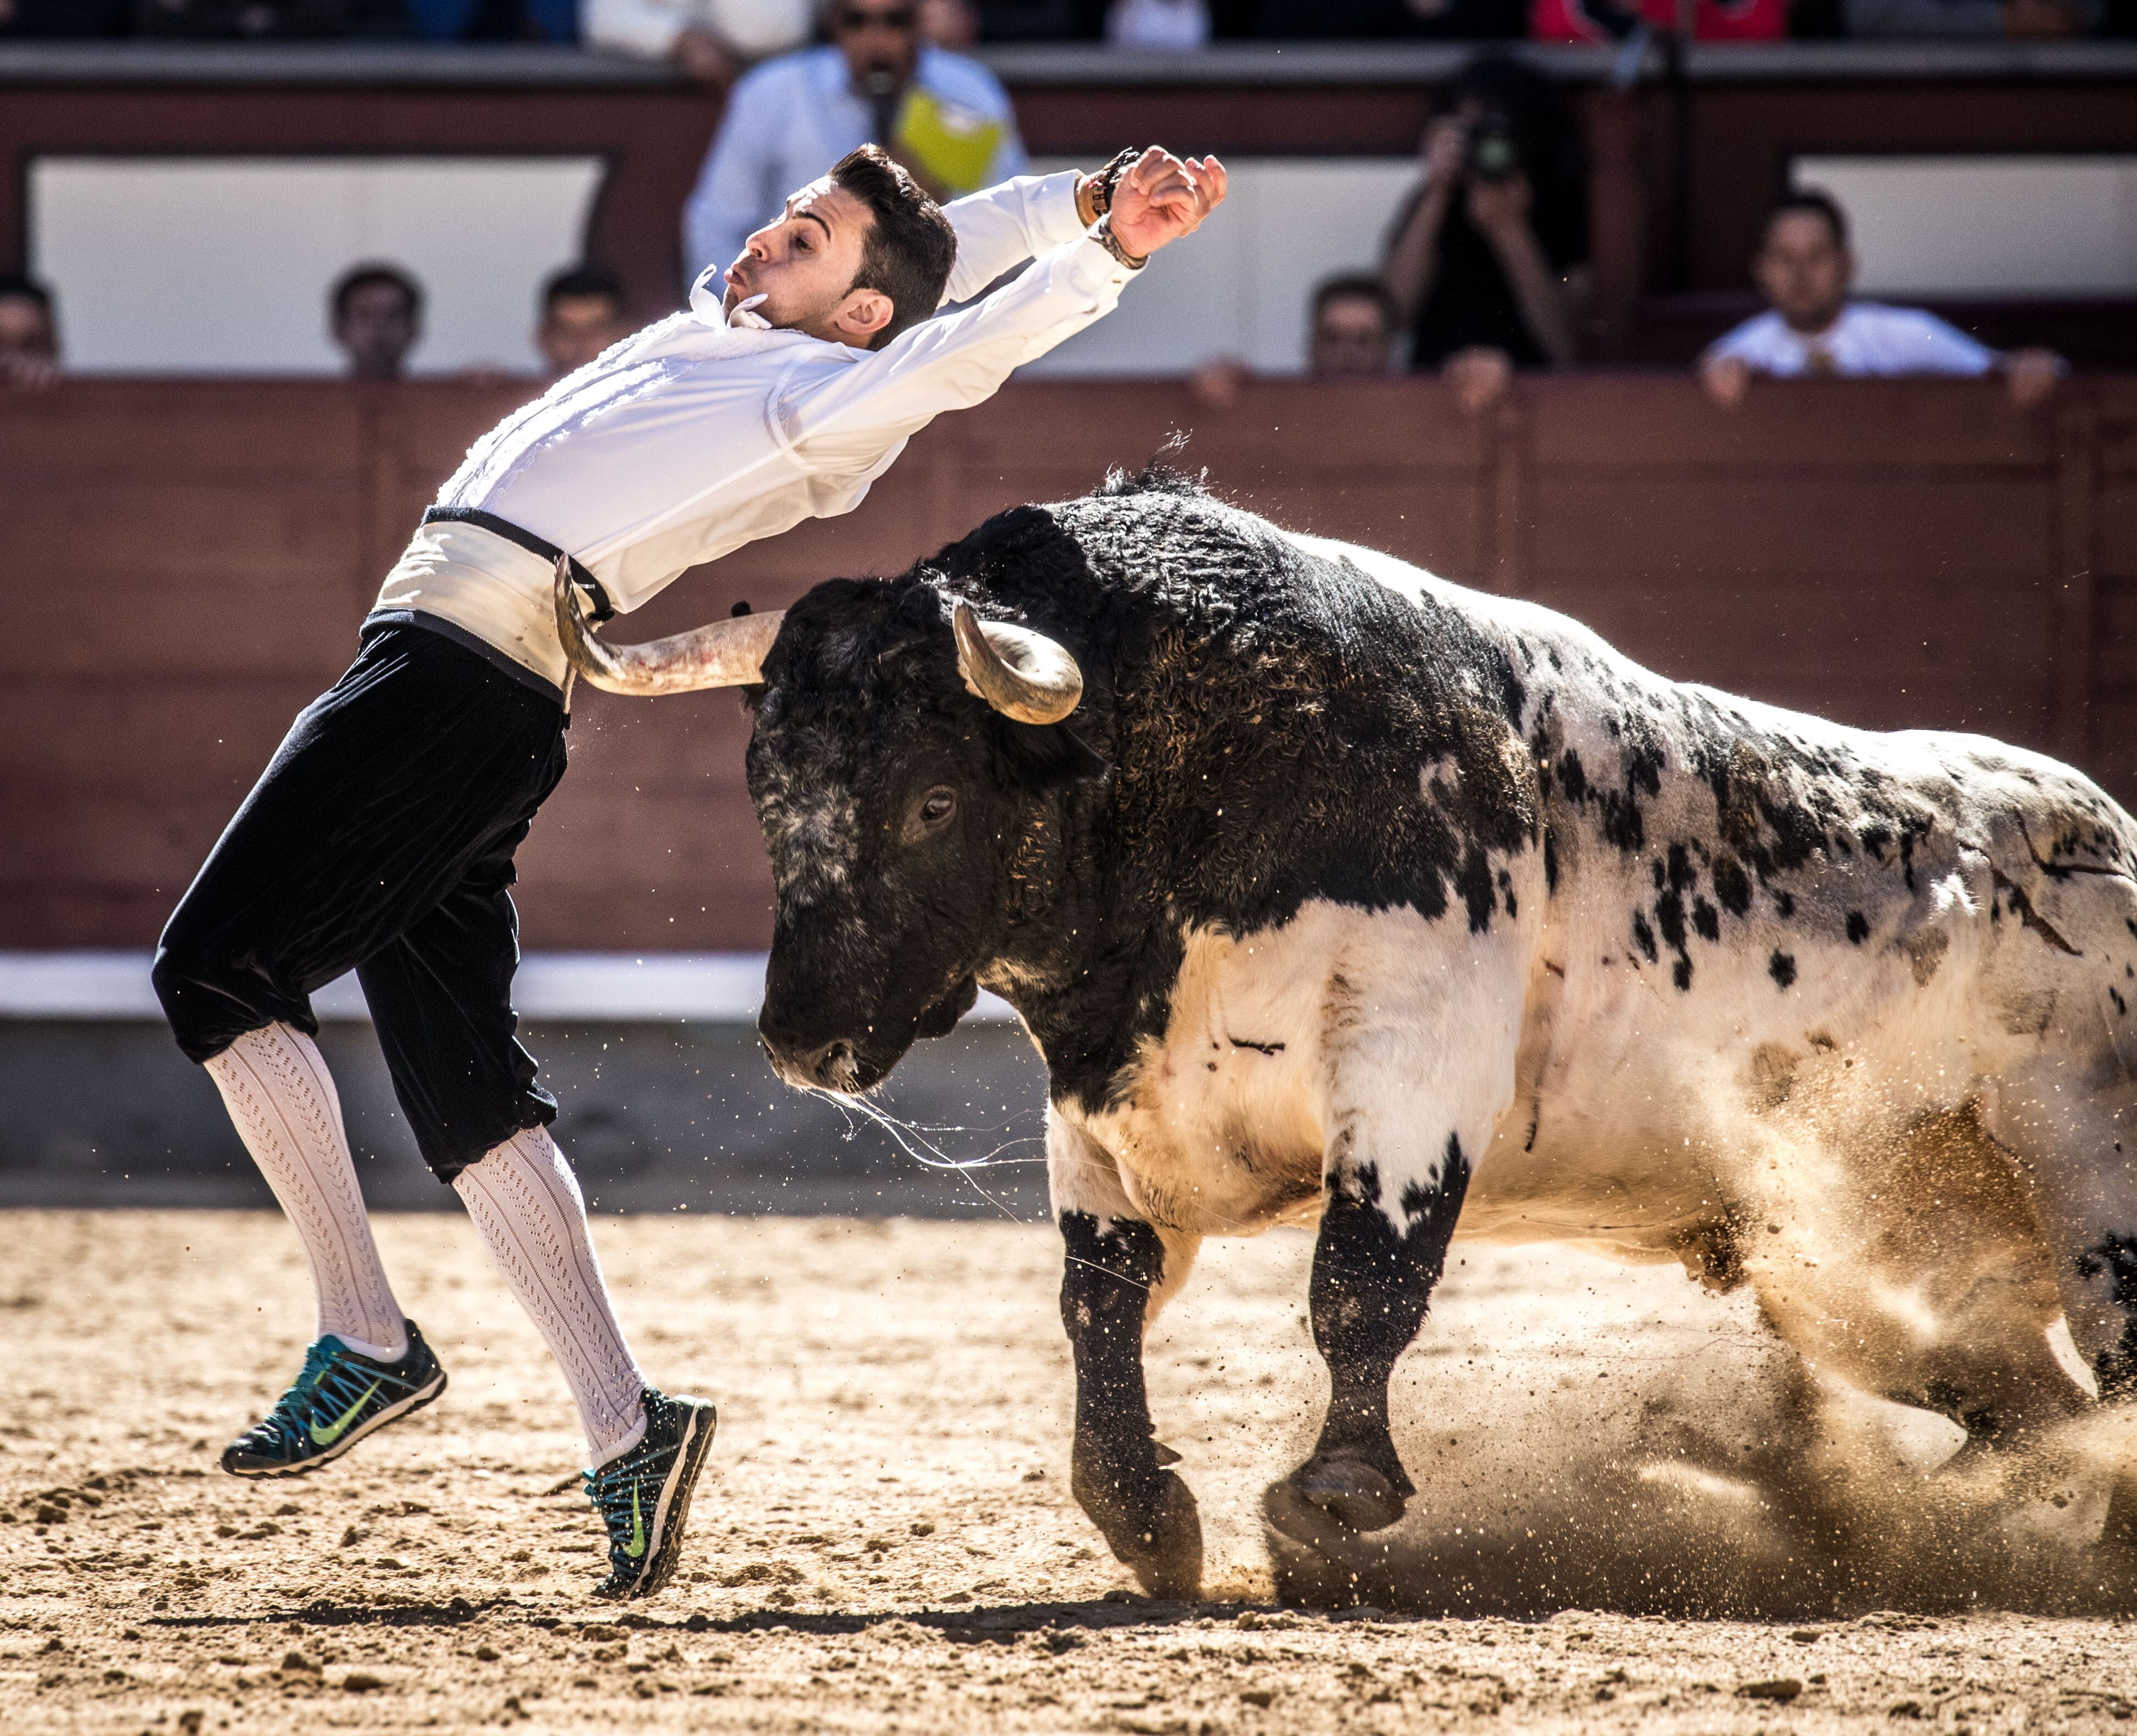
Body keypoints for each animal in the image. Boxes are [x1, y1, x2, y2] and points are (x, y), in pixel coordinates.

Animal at [560, 468, 2137, 1590]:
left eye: (932, 800)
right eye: (767, 793)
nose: (801, 1041)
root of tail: (2096, 825)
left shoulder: (1408, 1064)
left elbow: (1361, 1281)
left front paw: (1331, 1498)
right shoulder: (1102, 1115)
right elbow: (1097, 1300)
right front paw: (1143, 1514)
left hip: (2088, 1169)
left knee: (2108, 1353)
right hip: (1848, 1249)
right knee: (2005, 1384)